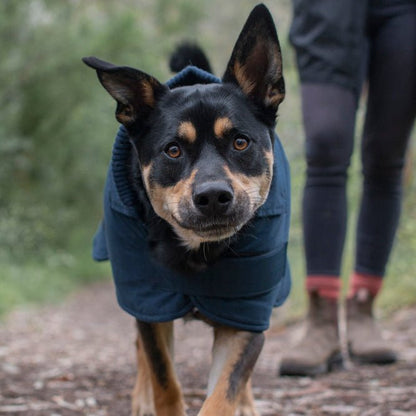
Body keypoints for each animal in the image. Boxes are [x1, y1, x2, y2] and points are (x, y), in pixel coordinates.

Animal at [83, 4, 288, 416]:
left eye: (241, 142)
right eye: (173, 150)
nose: (212, 196)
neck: (197, 250)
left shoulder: (245, 311)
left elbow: (225, 390)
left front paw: (236, 399)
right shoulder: (150, 303)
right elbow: (164, 377)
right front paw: (154, 397)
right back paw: (141, 397)